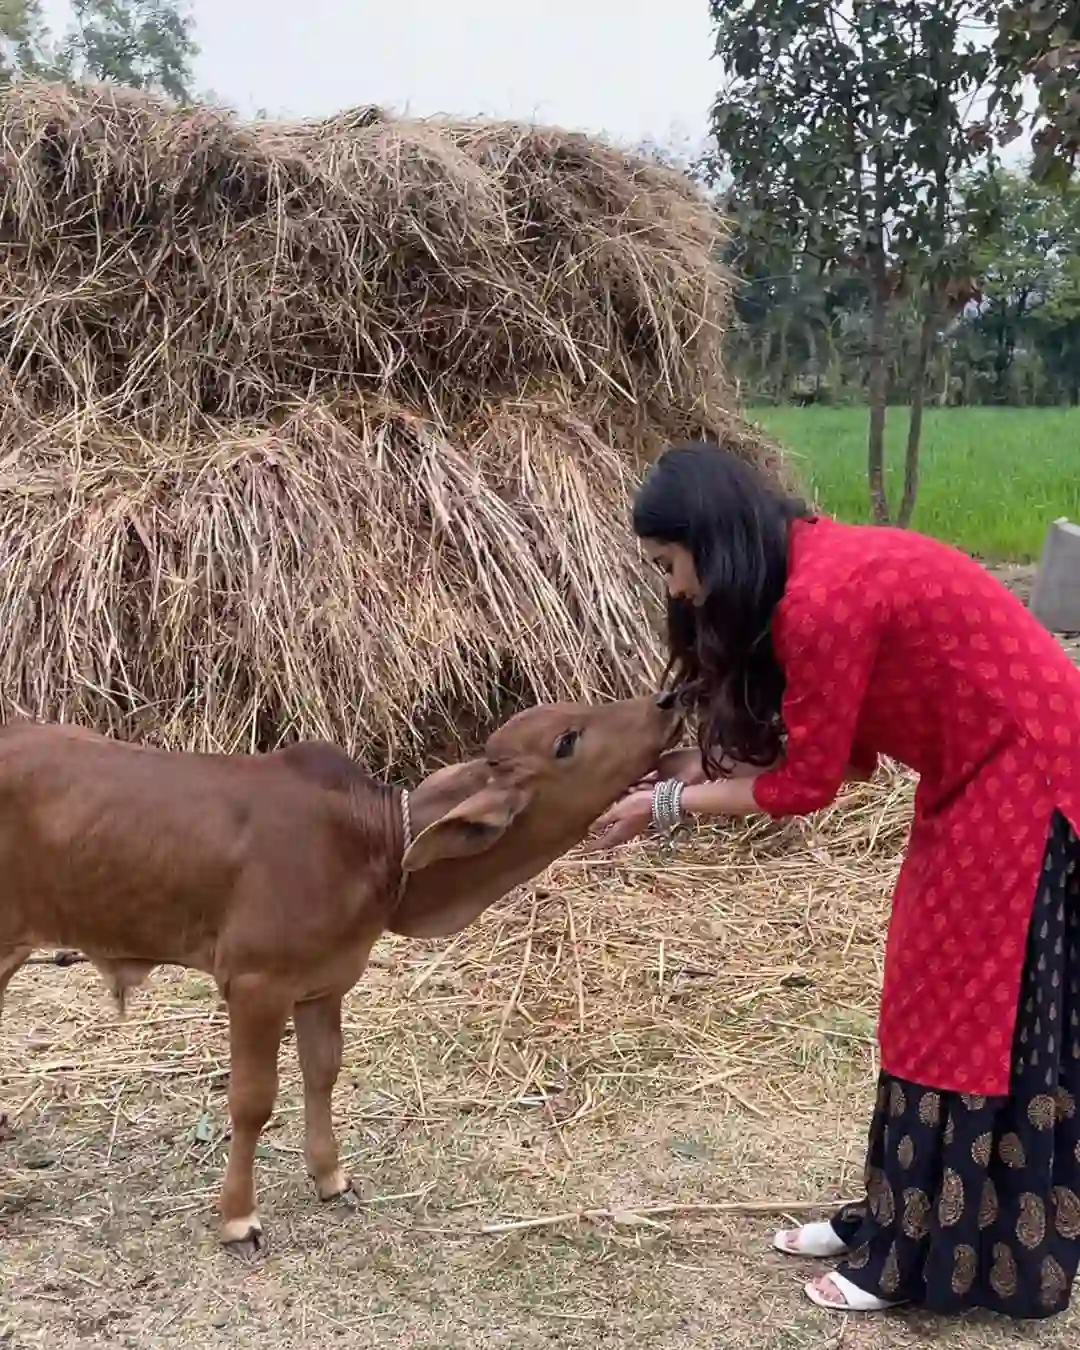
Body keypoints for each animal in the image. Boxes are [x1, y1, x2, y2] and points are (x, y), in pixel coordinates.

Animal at [0, 692, 679, 1258]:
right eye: (567, 740)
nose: (668, 699)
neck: (372, 845)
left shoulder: (324, 984)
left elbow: (322, 1073)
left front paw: (331, 1177)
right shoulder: (256, 985)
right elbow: (252, 1100)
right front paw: (239, 1219)